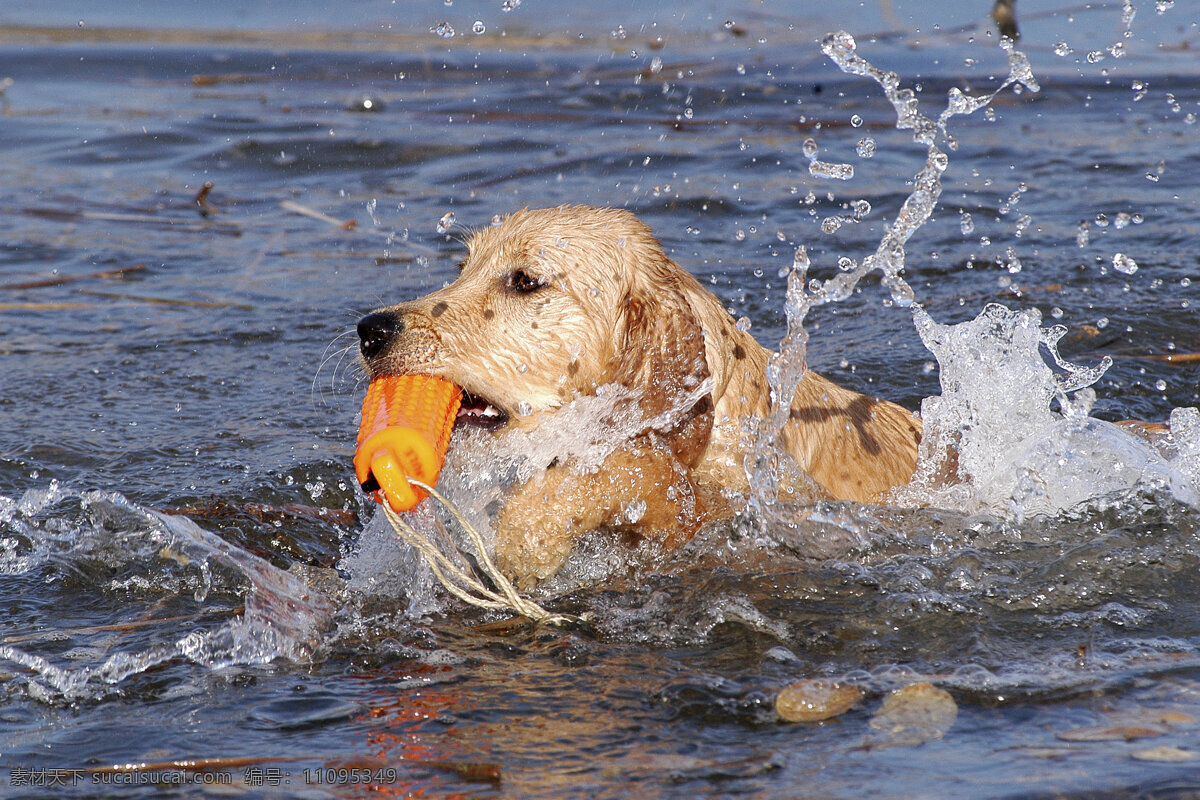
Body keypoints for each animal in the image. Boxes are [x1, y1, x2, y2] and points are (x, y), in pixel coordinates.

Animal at [355, 203, 916, 585]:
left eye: (525, 280)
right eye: (463, 268)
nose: (370, 330)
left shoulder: (747, 522)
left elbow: (633, 465)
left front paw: (530, 529)